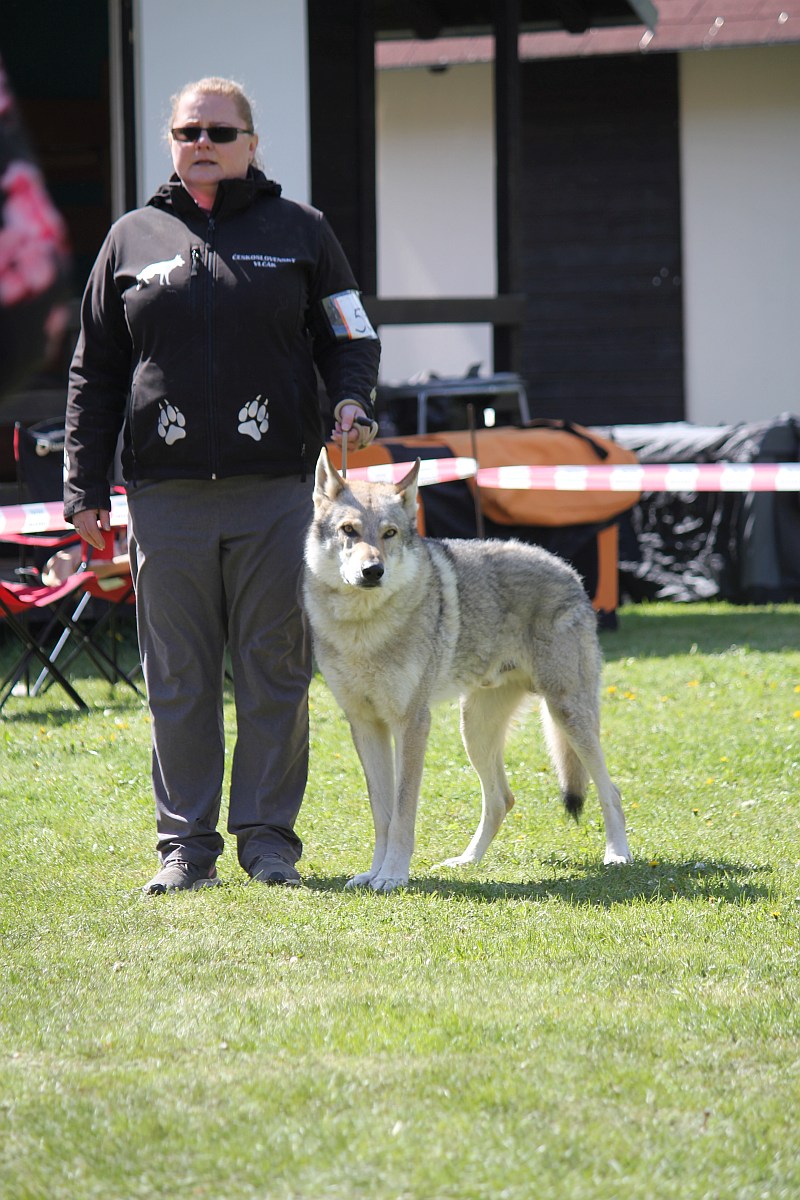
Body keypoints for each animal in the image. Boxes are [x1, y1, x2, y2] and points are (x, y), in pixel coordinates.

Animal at [303, 451, 633, 892]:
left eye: (389, 533)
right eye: (349, 531)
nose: (372, 571)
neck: (363, 630)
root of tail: (569, 571)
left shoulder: (412, 723)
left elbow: (403, 813)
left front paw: (393, 876)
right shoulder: (365, 724)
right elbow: (382, 815)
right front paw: (373, 873)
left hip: (567, 715)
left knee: (611, 790)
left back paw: (617, 855)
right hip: (474, 729)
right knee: (501, 799)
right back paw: (467, 861)